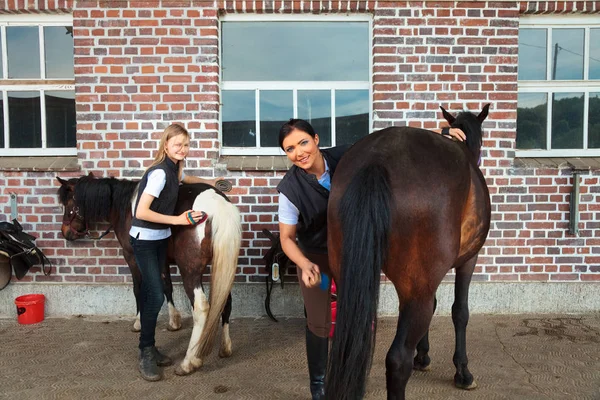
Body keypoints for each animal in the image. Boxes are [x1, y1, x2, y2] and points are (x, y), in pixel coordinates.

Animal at [56, 175, 241, 376]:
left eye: (68, 204)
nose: (65, 232)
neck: (126, 207)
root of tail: (217, 204)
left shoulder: (132, 257)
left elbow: (139, 289)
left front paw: (138, 322)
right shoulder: (161, 258)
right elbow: (166, 286)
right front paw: (174, 322)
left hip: (190, 271)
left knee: (201, 308)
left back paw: (189, 361)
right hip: (221, 267)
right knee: (224, 301)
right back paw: (225, 348)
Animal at [326, 104, 490, 398]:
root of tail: (377, 159)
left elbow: (436, 305)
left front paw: (422, 356)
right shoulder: (468, 261)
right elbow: (460, 311)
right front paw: (463, 372)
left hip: (347, 280)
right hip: (416, 289)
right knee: (397, 359)